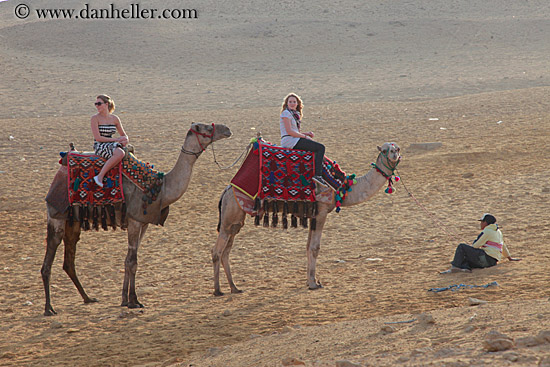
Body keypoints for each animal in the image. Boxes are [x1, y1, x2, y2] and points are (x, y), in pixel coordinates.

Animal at [42, 123, 232, 316]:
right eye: (206, 128)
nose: (227, 129)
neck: (161, 187)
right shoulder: (134, 220)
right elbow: (133, 262)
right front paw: (134, 301)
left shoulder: (143, 222)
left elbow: (128, 260)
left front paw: (125, 300)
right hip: (57, 215)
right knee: (49, 259)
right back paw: (49, 308)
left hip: (73, 221)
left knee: (69, 260)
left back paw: (88, 298)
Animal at [211, 142, 402, 294]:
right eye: (385, 150)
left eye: (397, 147)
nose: (395, 153)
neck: (341, 187)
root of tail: (226, 191)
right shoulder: (321, 211)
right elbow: (315, 248)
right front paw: (313, 284)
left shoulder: (312, 215)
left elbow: (308, 246)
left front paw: (313, 280)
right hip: (230, 215)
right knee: (217, 251)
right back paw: (218, 290)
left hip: (236, 220)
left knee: (226, 251)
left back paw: (234, 287)